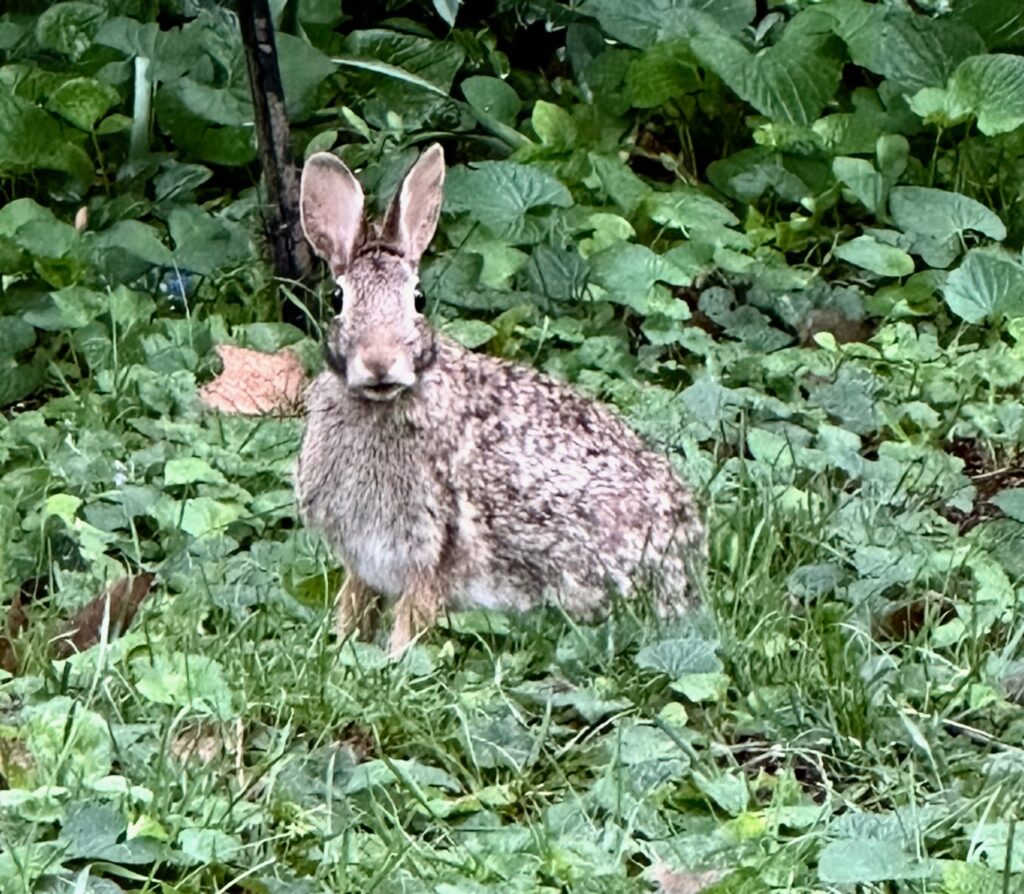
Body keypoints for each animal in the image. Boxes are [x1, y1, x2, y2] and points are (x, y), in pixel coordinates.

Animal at [296, 144, 704, 656]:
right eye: (337, 299)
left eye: (419, 299)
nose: (379, 362)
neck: (382, 402)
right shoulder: (362, 560)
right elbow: (355, 605)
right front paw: (343, 646)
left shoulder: (430, 552)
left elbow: (412, 619)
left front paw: (395, 660)